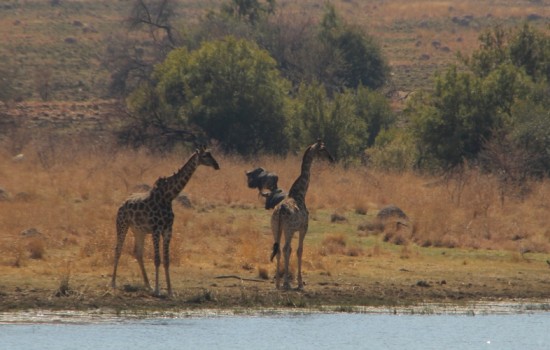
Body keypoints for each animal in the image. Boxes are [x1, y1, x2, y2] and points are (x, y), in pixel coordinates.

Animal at [111, 146, 221, 296]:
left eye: (211, 154)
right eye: (205, 156)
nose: (216, 165)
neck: (168, 197)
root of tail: (121, 205)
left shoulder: (168, 230)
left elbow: (167, 260)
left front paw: (169, 290)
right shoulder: (156, 229)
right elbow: (157, 259)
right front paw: (158, 290)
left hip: (139, 231)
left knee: (138, 253)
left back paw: (148, 285)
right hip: (122, 224)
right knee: (118, 249)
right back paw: (113, 283)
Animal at [270, 139, 334, 290]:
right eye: (323, 149)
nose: (331, 159)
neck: (300, 193)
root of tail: (279, 212)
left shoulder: (294, 229)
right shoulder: (303, 228)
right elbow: (300, 250)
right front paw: (300, 283)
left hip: (275, 228)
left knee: (278, 249)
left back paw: (278, 283)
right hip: (288, 229)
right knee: (285, 248)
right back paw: (286, 283)